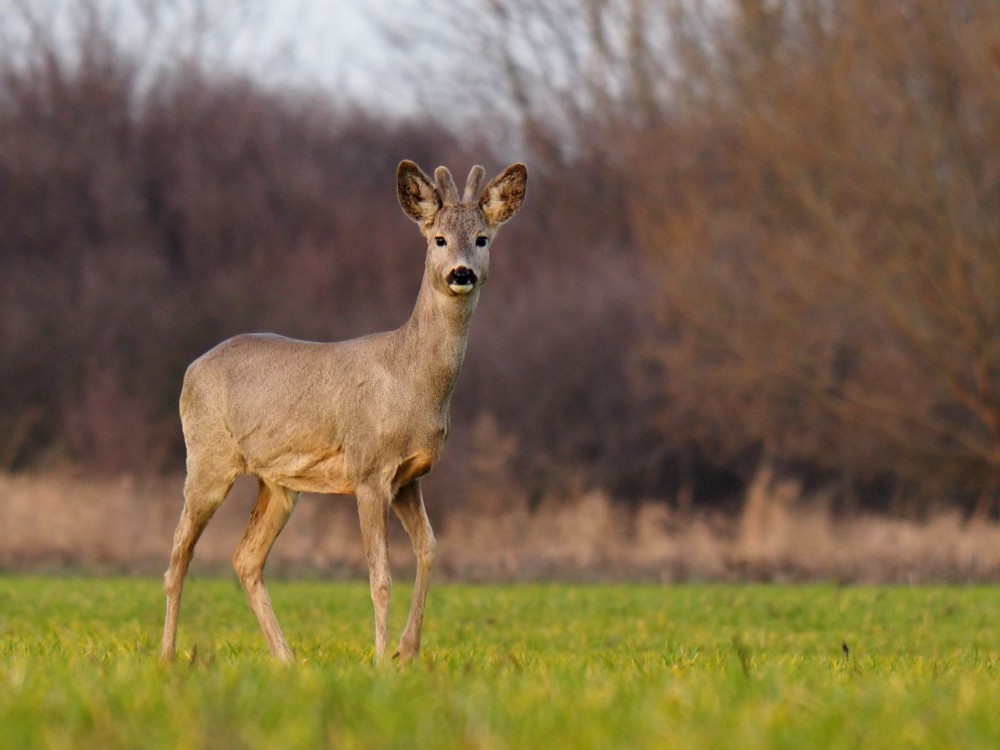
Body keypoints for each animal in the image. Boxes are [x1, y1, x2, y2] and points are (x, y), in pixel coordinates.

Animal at [160, 159, 528, 664]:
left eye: (482, 238)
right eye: (438, 239)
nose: (461, 273)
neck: (411, 380)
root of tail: (190, 369)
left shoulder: (409, 476)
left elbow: (429, 550)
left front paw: (407, 653)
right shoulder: (368, 469)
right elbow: (380, 577)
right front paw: (379, 661)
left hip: (278, 483)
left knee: (246, 558)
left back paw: (287, 660)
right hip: (208, 458)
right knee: (179, 553)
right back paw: (166, 657)